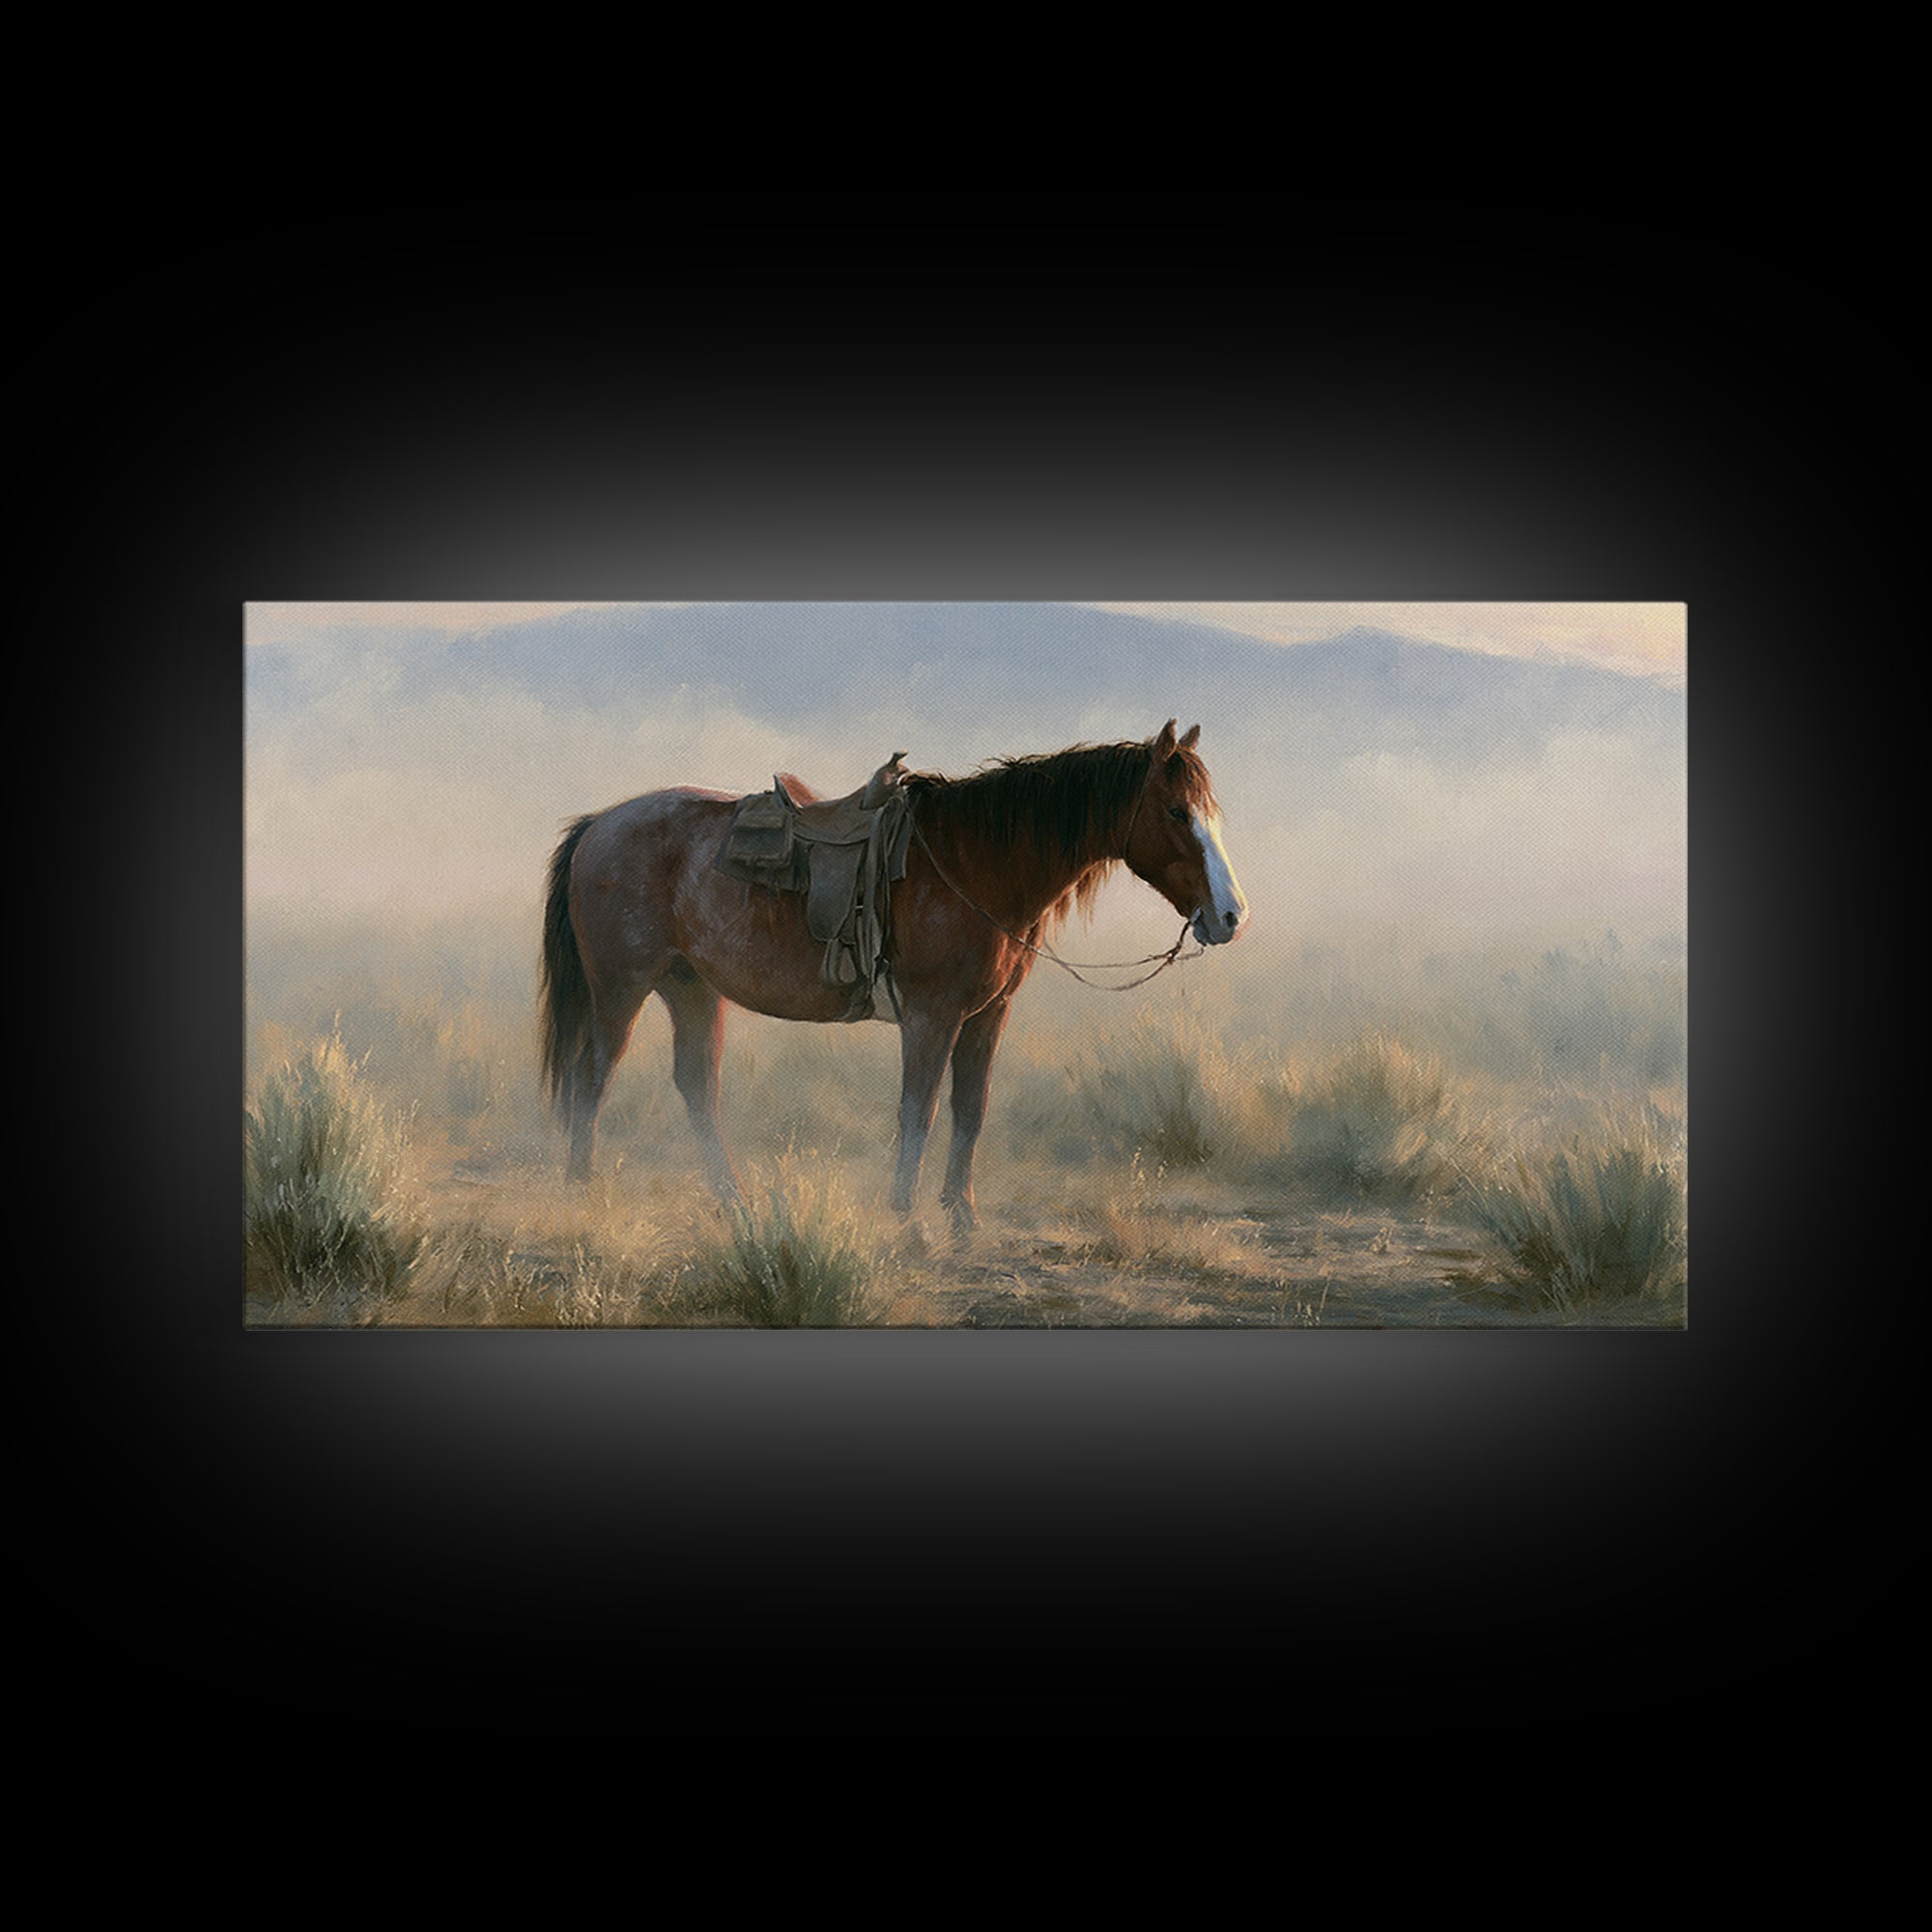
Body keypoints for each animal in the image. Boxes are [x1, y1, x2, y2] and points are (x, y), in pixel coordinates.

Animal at [539, 719, 1248, 1230]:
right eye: (1178, 813)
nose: (1231, 915)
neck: (978, 862)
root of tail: (600, 824)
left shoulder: (987, 1014)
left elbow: (970, 1109)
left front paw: (961, 1218)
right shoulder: (931, 1016)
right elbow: (920, 1111)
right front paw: (908, 1221)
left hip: (690, 987)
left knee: (696, 1088)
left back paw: (734, 1204)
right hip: (622, 987)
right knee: (592, 1077)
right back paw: (581, 1191)